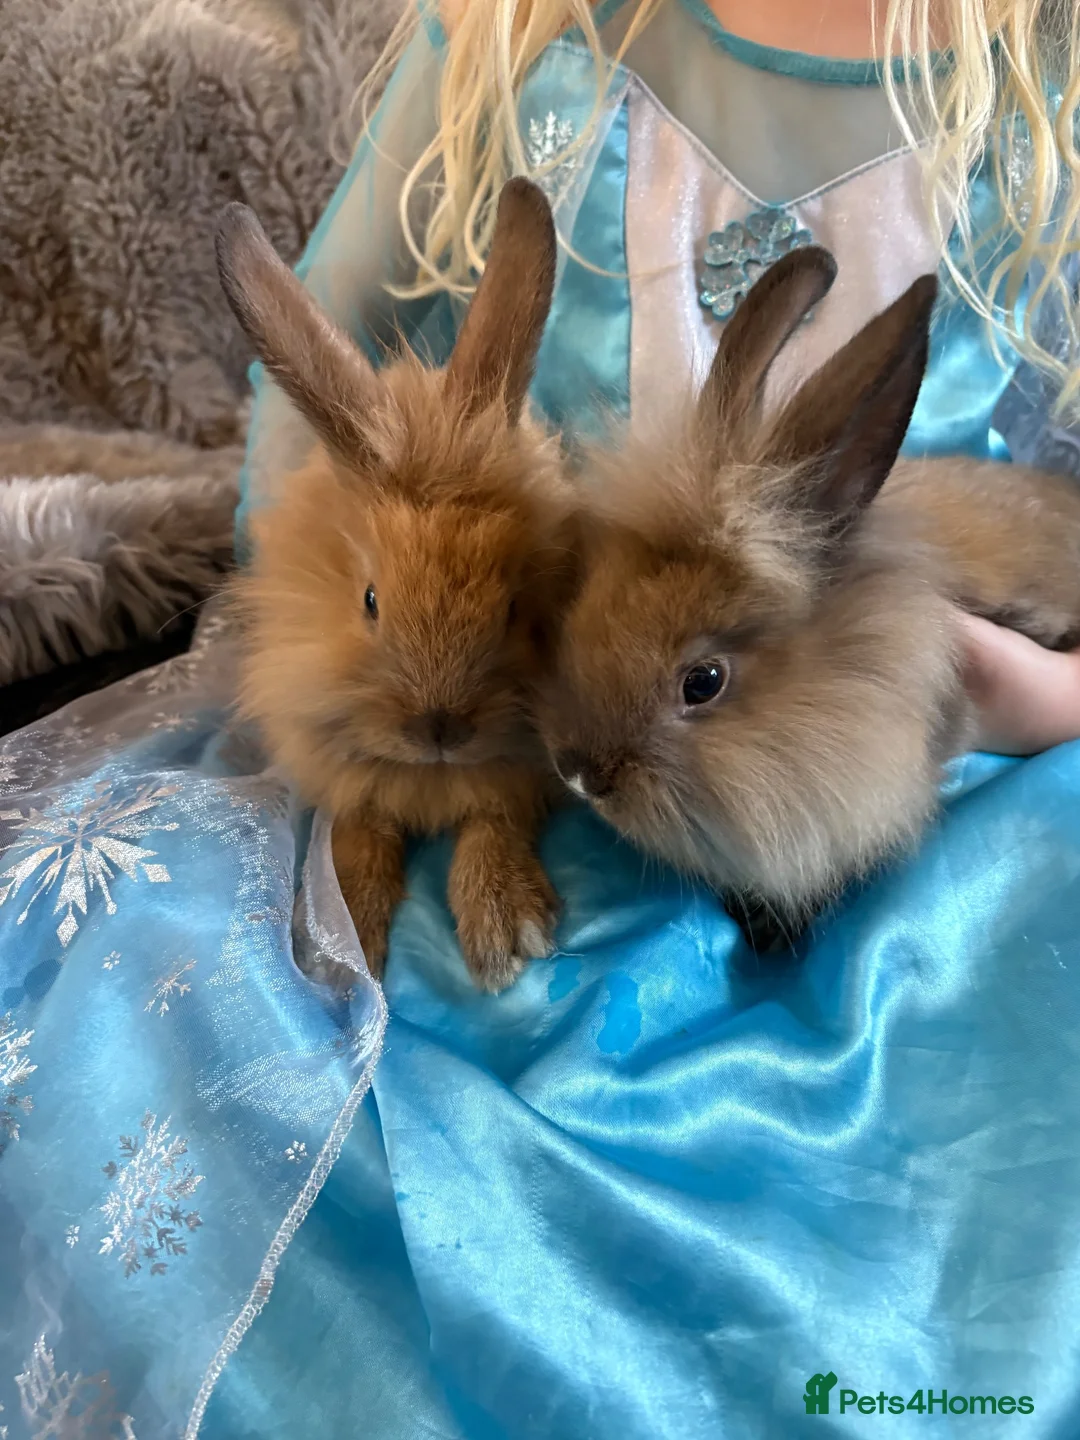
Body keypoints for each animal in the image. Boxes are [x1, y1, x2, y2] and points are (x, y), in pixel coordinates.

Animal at [216, 179, 577, 992]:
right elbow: (357, 832)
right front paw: (340, 934)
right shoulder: (343, 775)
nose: (439, 729)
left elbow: (492, 823)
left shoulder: (517, 782)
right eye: (371, 601)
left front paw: (507, 929)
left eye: (514, 606)